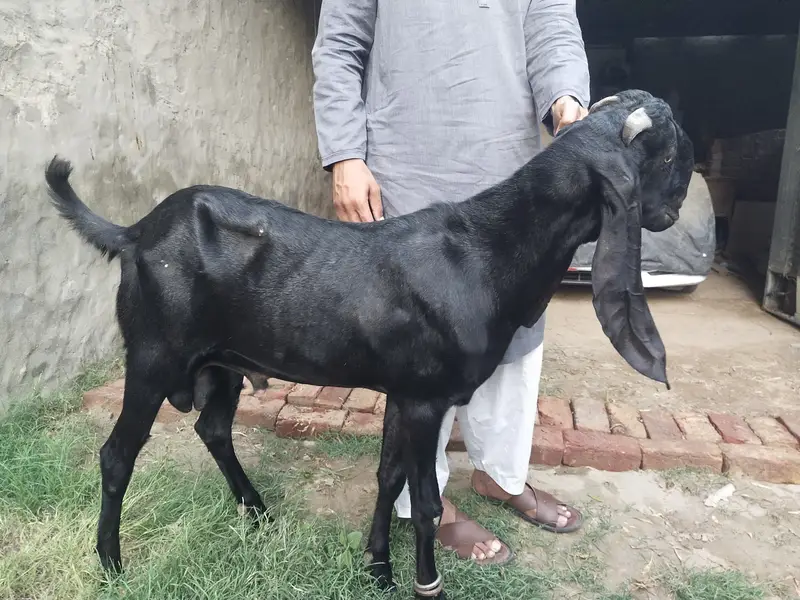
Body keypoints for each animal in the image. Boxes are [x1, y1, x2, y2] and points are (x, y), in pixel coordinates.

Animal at [47, 89, 693, 600]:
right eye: (664, 154)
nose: (676, 207)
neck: (483, 250)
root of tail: (135, 231)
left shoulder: (404, 393)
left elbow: (389, 476)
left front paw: (378, 567)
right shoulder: (429, 399)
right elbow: (427, 504)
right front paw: (426, 585)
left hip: (223, 362)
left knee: (213, 429)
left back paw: (257, 510)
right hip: (154, 358)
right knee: (117, 455)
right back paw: (111, 565)